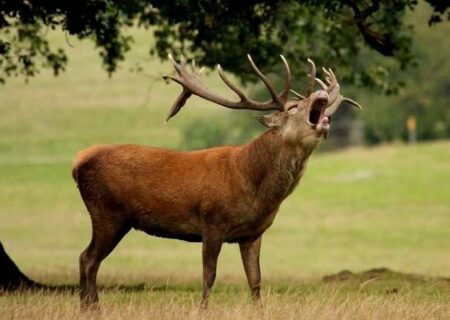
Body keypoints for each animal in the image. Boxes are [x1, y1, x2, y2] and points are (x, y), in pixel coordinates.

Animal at [74, 53, 362, 308]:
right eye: (293, 108)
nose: (321, 94)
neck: (251, 185)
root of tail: (77, 164)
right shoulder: (212, 222)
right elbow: (209, 276)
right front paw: (202, 309)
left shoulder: (253, 233)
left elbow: (255, 281)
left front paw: (259, 311)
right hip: (107, 211)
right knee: (88, 258)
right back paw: (93, 308)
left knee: (86, 258)